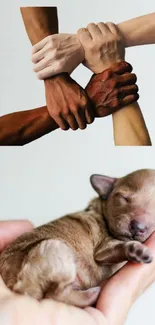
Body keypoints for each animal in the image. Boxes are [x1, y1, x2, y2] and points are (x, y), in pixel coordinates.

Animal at [0, 168, 154, 308]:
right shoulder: (103, 248)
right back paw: (92, 295)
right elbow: (119, 245)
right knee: (56, 294)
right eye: (124, 199)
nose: (138, 227)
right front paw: (137, 250)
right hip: (56, 247)